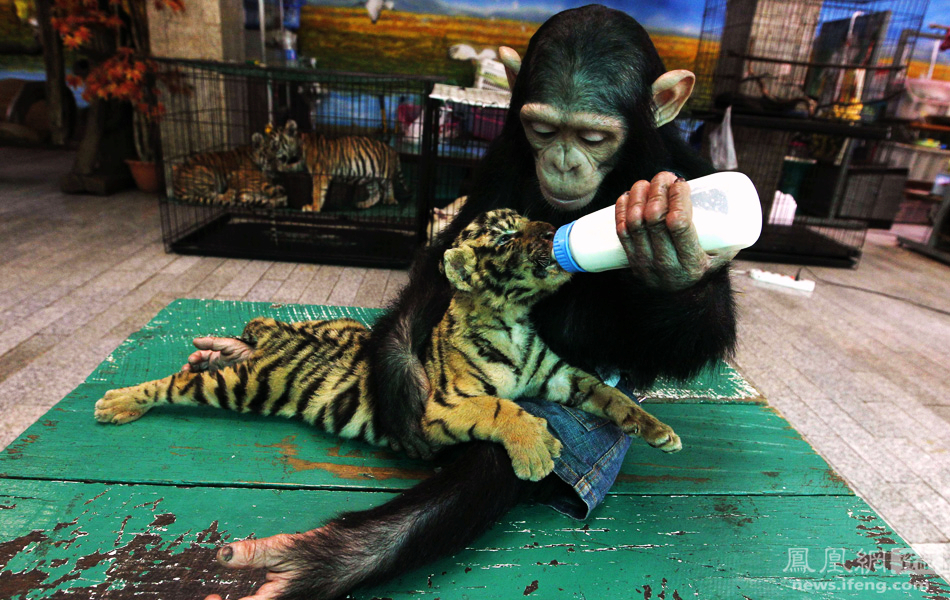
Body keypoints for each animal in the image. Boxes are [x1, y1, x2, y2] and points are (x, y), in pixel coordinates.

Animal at [93, 209, 681, 481]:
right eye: (507, 236)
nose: (556, 228)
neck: (514, 319)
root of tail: (278, 339)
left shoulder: (561, 375)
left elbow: (612, 395)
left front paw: (660, 431)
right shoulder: (438, 408)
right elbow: (501, 407)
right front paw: (536, 448)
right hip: (243, 386)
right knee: (179, 382)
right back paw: (117, 402)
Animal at [260, 119, 409, 212]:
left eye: (274, 145)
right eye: (266, 145)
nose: (265, 156)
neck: (299, 149)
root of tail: (393, 150)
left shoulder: (320, 174)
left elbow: (316, 192)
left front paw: (313, 208)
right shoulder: (301, 164)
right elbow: (291, 167)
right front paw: (276, 166)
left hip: (383, 173)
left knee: (389, 186)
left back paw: (390, 200)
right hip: (368, 177)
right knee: (376, 193)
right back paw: (362, 204)